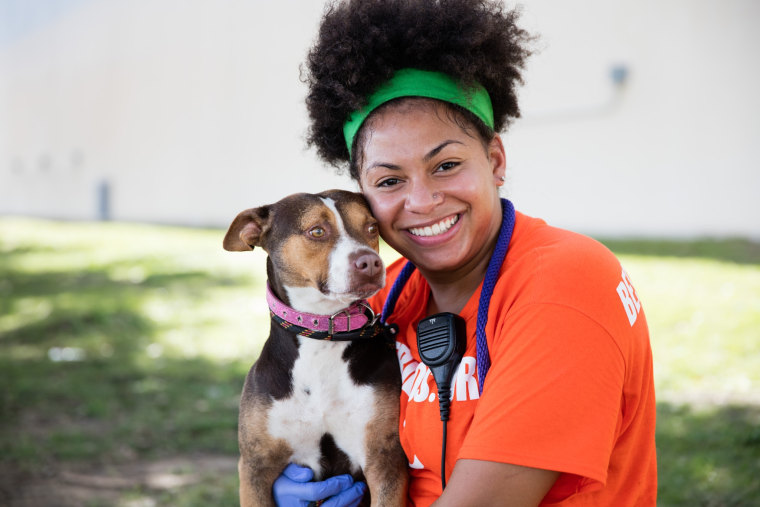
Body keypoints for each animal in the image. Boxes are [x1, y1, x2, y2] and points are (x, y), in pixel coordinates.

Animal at [223, 190, 406, 507]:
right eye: (317, 231)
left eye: (372, 228)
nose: (370, 263)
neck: (322, 333)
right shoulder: (255, 467)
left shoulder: (385, 463)